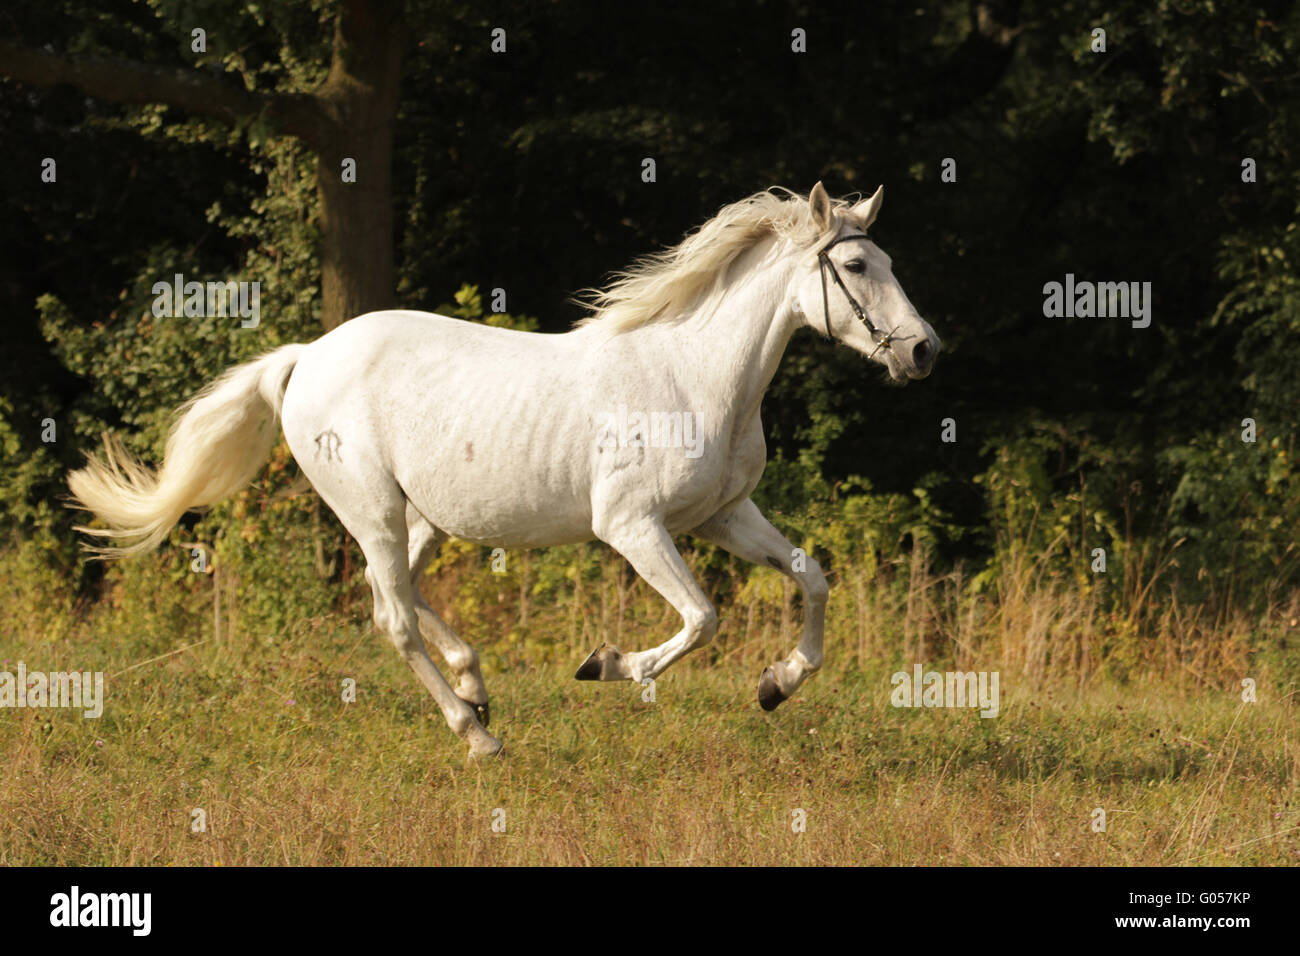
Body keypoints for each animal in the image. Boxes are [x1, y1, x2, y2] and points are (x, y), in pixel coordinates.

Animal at [71, 183, 941, 759]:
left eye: (890, 258)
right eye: (857, 265)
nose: (925, 351)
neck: (692, 376)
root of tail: (305, 357)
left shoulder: (724, 516)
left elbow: (811, 576)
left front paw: (777, 683)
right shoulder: (632, 527)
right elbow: (702, 619)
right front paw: (605, 665)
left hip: (418, 519)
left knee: (396, 595)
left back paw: (476, 690)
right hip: (373, 510)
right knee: (392, 616)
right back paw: (475, 736)